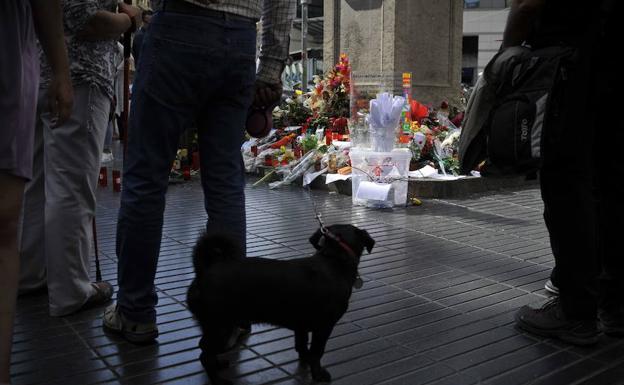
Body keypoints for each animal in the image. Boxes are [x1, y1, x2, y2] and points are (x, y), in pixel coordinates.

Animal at [188, 224, 372, 382]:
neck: (334, 259)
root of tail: (203, 271)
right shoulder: (323, 327)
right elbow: (317, 352)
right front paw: (318, 374)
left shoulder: (301, 325)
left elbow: (302, 345)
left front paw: (305, 360)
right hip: (221, 327)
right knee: (205, 353)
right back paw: (218, 380)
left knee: (206, 350)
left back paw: (219, 365)